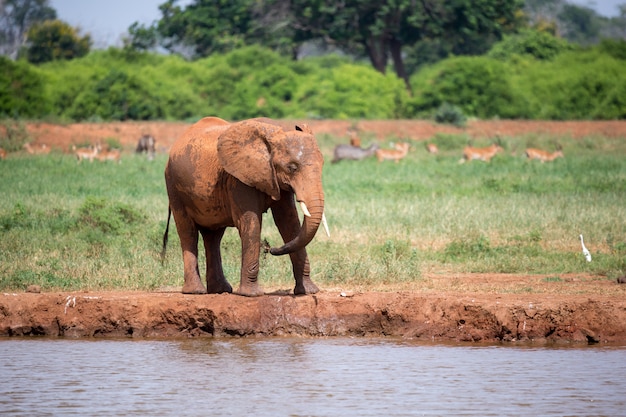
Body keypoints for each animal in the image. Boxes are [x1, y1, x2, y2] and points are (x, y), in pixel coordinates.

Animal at [161, 117, 326, 296]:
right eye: (292, 168)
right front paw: (251, 294)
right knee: (188, 232)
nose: (270, 249)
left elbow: (289, 223)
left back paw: (220, 290)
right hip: (174, 187)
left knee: (213, 236)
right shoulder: (239, 179)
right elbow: (250, 223)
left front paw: (308, 292)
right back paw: (196, 291)